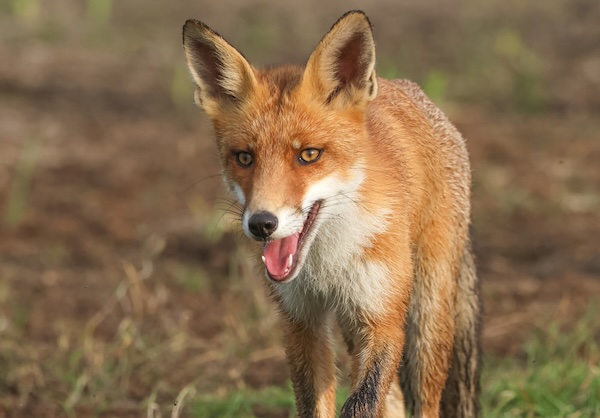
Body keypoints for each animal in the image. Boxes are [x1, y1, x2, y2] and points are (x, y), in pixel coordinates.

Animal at [180, 9, 480, 418]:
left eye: (309, 155)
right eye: (244, 157)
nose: (262, 224)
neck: (327, 262)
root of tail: (410, 90)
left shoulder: (383, 318)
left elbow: (359, 403)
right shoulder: (301, 320)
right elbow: (316, 404)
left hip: (427, 319)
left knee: (424, 400)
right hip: (354, 326)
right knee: (393, 401)